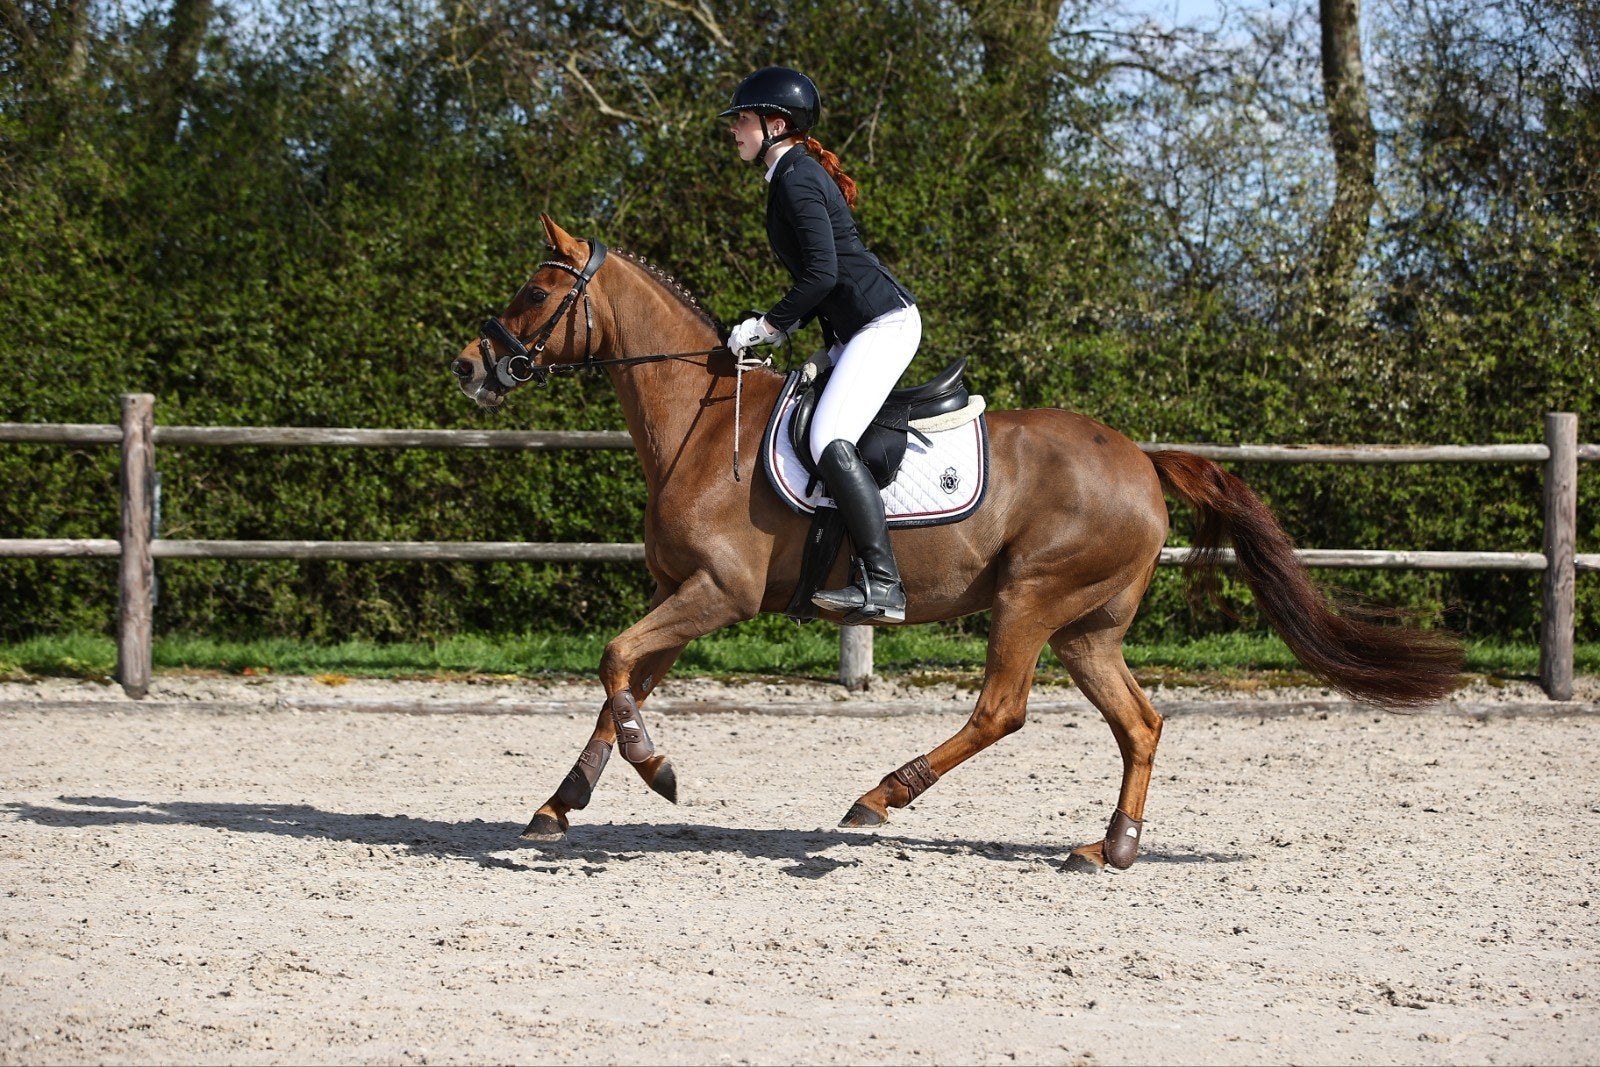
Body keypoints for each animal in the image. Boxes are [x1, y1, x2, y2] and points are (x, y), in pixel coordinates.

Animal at [449, 214, 1461, 870]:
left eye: (536, 289)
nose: (467, 364)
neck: (701, 425)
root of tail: (1142, 456)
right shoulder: (679, 594)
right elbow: (619, 680)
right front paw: (561, 804)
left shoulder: (716, 593)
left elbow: (613, 660)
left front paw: (655, 770)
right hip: (1086, 626)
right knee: (1139, 721)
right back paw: (1110, 847)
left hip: (1031, 599)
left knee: (1002, 710)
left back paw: (878, 797)